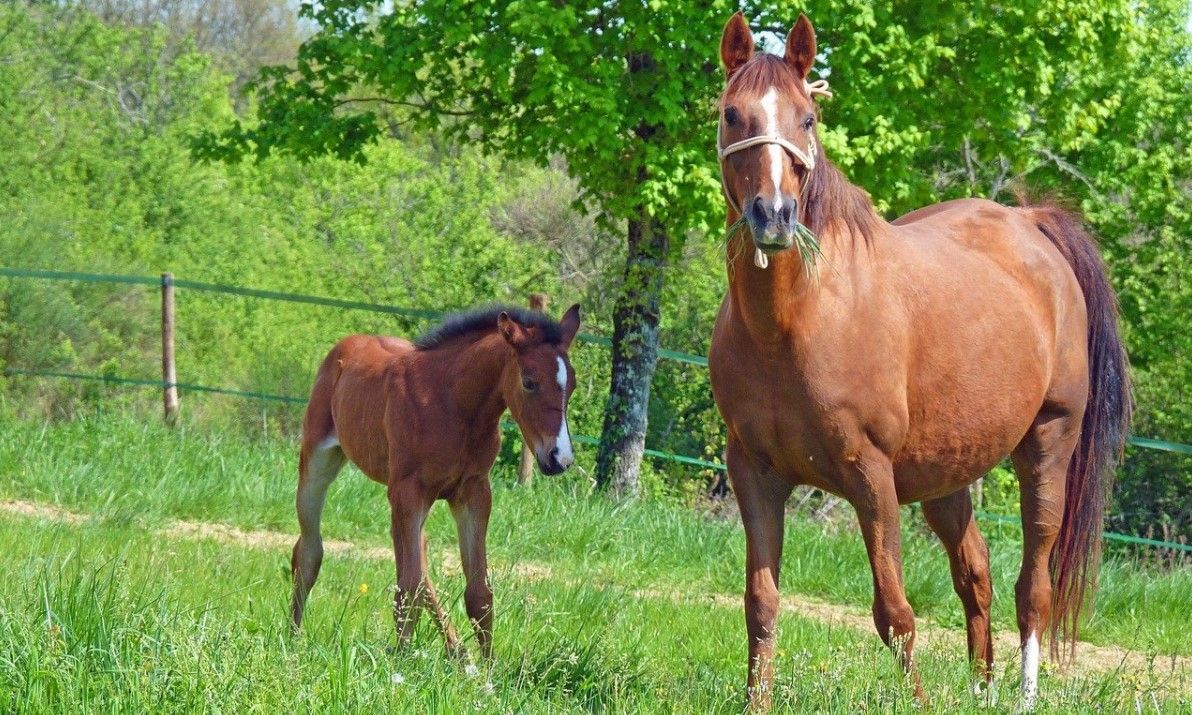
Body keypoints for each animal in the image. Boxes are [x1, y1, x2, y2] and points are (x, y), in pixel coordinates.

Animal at [289, 304, 582, 659]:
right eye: (529, 383)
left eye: (572, 385)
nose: (559, 458)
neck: (454, 405)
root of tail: (346, 345)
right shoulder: (409, 491)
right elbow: (408, 587)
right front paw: (400, 661)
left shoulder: (474, 492)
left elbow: (479, 592)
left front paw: (488, 667)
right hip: (320, 462)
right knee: (308, 550)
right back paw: (292, 637)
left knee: (420, 557)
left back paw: (458, 652)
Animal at [710, 13, 1130, 709]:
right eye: (731, 114)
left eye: (808, 119)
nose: (773, 215)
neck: (794, 321)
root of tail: (1032, 224)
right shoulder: (754, 473)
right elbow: (761, 603)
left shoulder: (871, 478)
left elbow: (895, 613)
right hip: (947, 474)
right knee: (976, 573)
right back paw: (982, 689)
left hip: (1048, 445)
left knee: (1033, 589)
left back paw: (1022, 693)